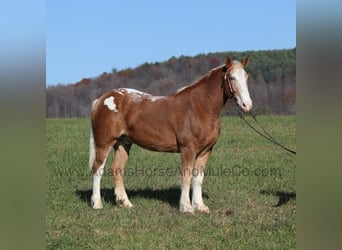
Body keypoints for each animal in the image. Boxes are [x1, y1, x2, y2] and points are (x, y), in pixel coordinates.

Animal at [89, 55, 252, 214]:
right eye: (231, 77)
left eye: (246, 77)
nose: (247, 105)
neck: (199, 107)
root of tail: (101, 99)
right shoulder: (188, 149)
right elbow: (186, 176)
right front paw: (186, 207)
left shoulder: (205, 150)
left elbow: (197, 179)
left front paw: (200, 206)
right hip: (104, 143)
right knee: (98, 168)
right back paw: (97, 204)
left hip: (123, 143)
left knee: (117, 169)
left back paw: (125, 203)